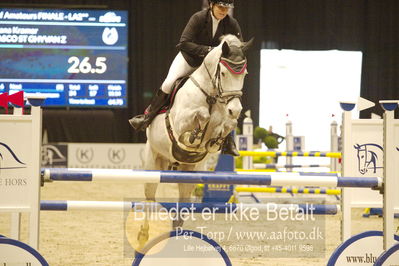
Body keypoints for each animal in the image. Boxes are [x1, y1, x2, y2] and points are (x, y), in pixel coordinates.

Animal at [143, 34, 250, 222]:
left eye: (244, 74)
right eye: (223, 73)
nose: (235, 110)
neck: (212, 96)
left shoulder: (222, 121)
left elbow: (229, 124)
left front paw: (218, 141)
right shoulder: (180, 122)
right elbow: (202, 116)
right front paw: (193, 136)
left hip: (189, 172)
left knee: (182, 206)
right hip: (153, 164)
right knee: (149, 199)